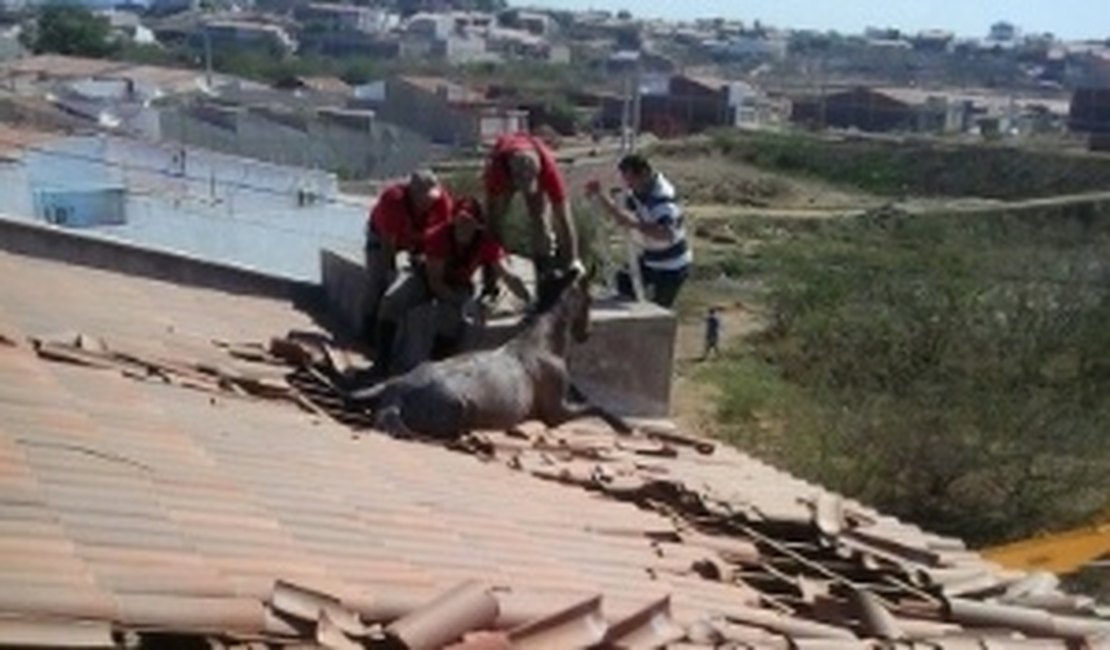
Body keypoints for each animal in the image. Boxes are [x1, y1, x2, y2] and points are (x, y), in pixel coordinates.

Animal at [344, 266, 634, 437]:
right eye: (590, 299)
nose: (588, 333)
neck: (543, 343)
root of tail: (395, 395)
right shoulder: (556, 412)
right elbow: (595, 406)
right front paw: (624, 427)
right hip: (459, 408)